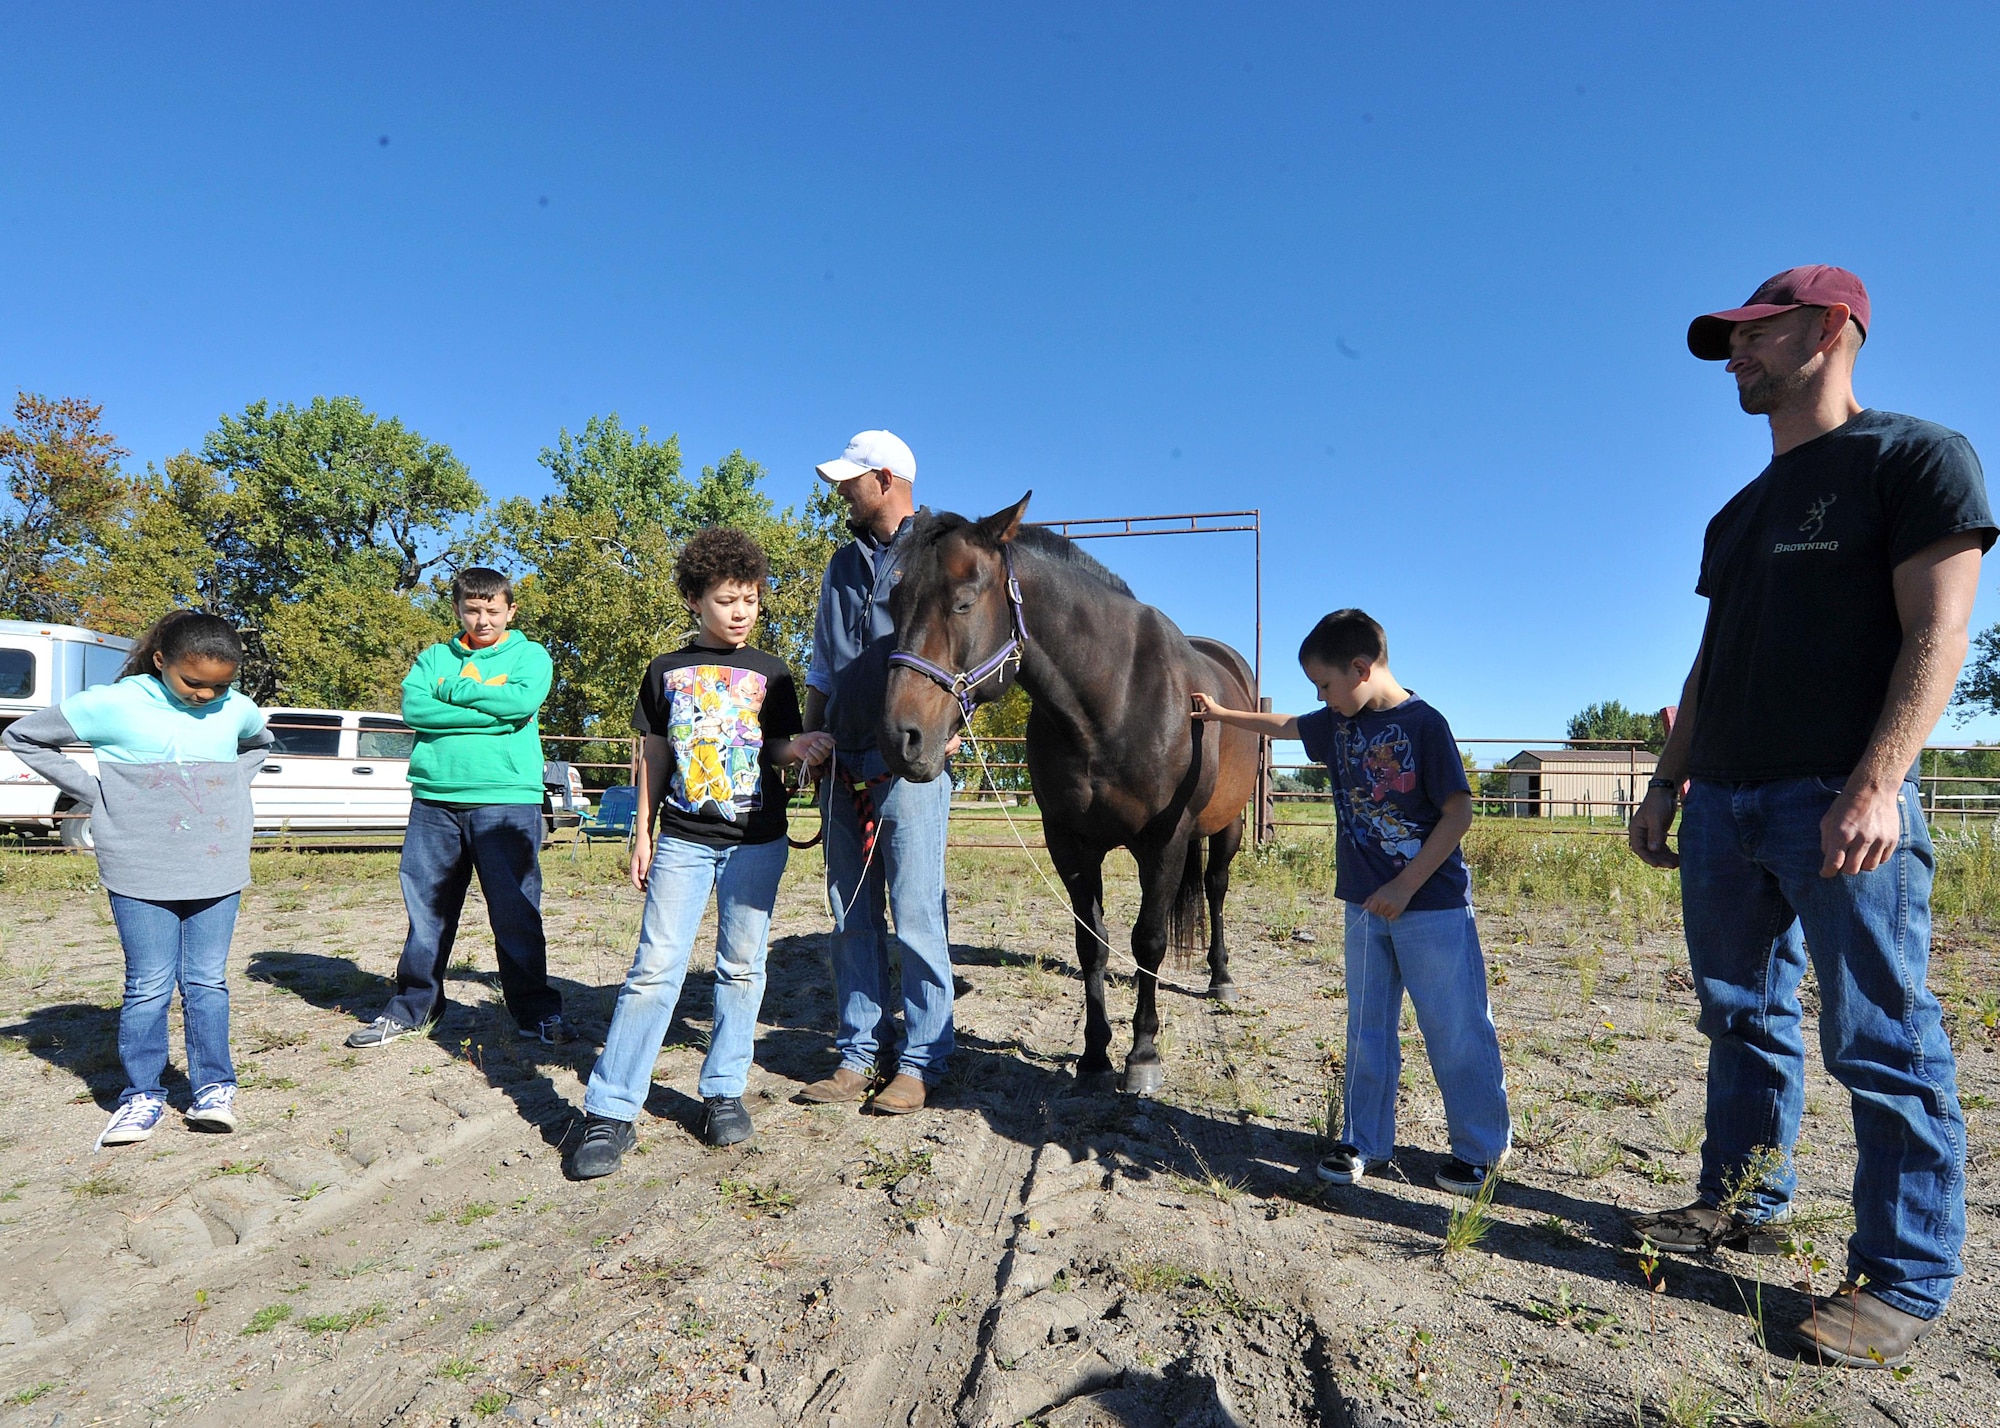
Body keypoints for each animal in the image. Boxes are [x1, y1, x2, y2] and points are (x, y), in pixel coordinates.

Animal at [884, 490, 1256, 1088]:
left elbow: (1148, 940)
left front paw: (1142, 1054)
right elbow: (1092, 943)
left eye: (962, 603)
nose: (900, 738)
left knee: (1217, 890)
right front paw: (1095, 1053)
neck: (1112, 698)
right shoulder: (1069, 842)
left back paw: (1220, 977)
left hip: (1228, 826)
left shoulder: (1165, 841)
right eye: (894, 603)